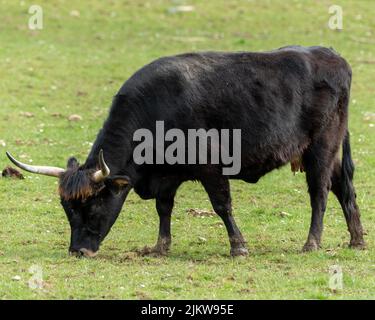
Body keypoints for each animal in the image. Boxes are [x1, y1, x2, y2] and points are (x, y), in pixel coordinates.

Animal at [6, 45, 364, 258]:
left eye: (94, 205)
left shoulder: (210, 166)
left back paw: (312, 242)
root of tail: (331, 56)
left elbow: (222, 205)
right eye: (67, 210)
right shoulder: (166, 175)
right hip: (330, 152)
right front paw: (160, 246)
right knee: (344, 188)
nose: (78, 250)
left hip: (320, 149)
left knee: (320, 193)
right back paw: (356, 239)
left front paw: (238, 247)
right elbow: (164, 208)